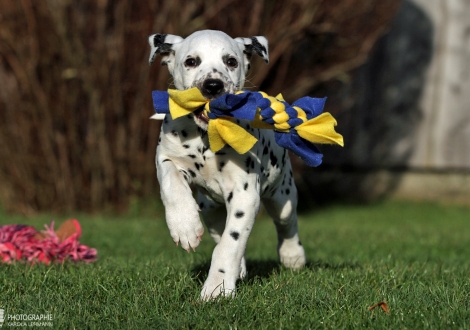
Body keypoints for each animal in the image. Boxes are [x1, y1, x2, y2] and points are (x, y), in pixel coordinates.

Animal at [149, 29, 306, 300]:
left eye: (231, 61)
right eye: (191, 61)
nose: (213, 85)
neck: (206, 134)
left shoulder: (245, 195)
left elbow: (231, 243)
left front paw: (217, 287)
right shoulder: (167, 157)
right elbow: (172, 184)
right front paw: (184, 225)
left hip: (281, 196)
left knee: (286, 224)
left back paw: (292, 256)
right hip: (210, 209)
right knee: (218, 229)